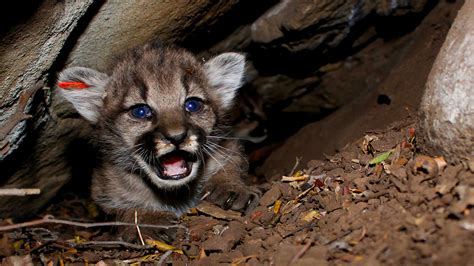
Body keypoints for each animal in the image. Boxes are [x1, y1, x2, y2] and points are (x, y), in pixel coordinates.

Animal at [58, 44, 262, 222]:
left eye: (192, 105)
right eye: (140, 111)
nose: (177, 137)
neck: (176, 193)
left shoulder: (228, 147)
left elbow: (231, 162)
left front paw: (231, 188)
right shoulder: (103, 188)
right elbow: (123, 209)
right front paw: (148, 219)